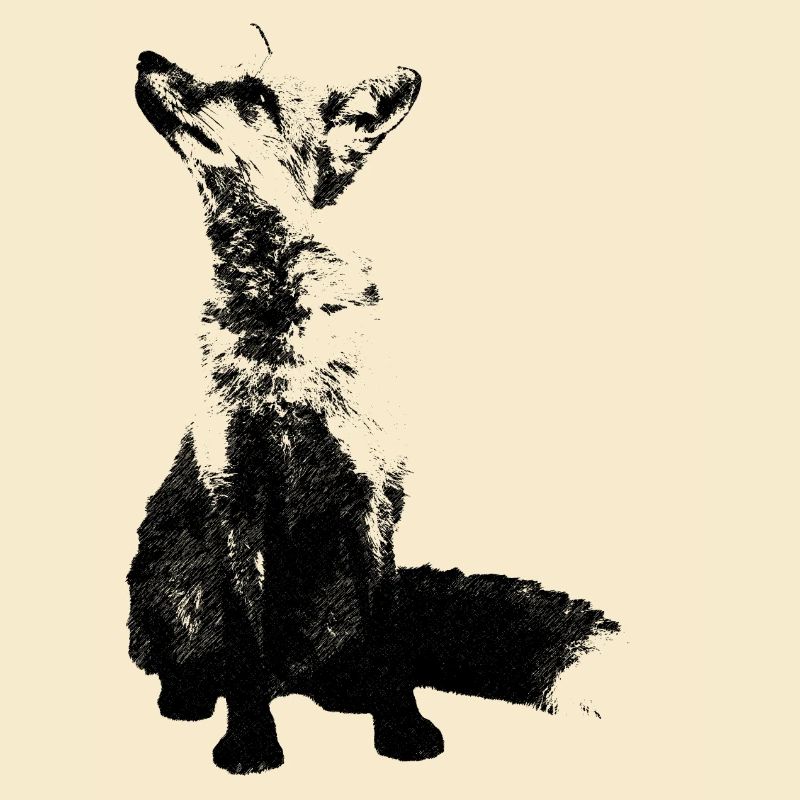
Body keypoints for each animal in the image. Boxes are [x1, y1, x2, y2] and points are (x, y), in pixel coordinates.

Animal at [128, 28, 620, 775]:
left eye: (253, 95)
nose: (147, 57)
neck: (284, 352)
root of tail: (297, 675)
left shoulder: (369, 495)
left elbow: (389, 641)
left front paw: (402, 730)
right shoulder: (234, 496)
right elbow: (244, 647)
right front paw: (251, 742)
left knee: (341, 660)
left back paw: (343, 693)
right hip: (167, 588)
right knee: (193, 661)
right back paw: (191, 695)